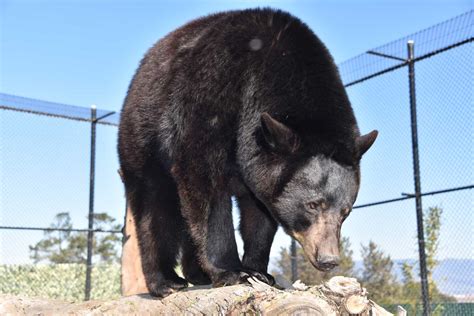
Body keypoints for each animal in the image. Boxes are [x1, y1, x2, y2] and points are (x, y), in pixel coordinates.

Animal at [118, 8, 378, 298]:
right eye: (312, 205)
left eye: (346, 211)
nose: (329, 259)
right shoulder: (209, 102)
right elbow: (205, 186)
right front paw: (230, 271)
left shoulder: (258, 158)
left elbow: (260, 211)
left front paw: (258, 271)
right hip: (143, 141)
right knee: (155, 207)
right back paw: (166, 281)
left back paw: (197, 274)